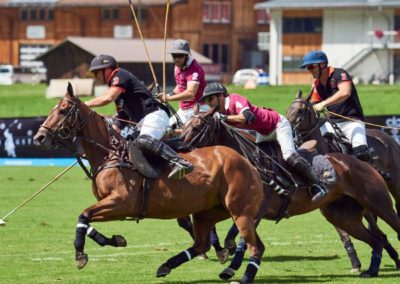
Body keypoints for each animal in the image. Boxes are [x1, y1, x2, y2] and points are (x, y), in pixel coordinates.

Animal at [32, 83, 266, 282]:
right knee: (204, 244)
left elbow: (83, 216)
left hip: (240, 211)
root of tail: (248, 162)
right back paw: (167, 266)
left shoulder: (121, 202)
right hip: (208, 212)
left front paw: (80, 255)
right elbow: (86, 219)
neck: (110, 154)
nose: (39, 138)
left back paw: (241, 276)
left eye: (62, 111)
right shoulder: (115, 207)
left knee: (255, 247)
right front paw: (116, 240)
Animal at [182, 106, 400, 278]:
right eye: (183, 126)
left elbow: (242, 238)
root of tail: (363, 161)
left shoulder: (257, 210)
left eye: (197, 127)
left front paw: (230, 261)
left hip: (379, 204)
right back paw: (372, 270)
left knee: (390, 226)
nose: (180, 147)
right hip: (342, 215)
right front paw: (227, 262)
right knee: (376, 239)